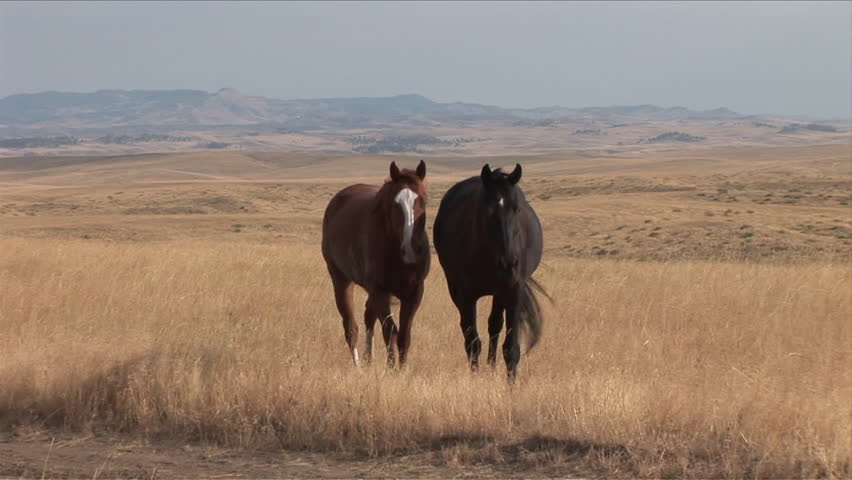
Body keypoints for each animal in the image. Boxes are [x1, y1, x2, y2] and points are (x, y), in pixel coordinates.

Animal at [321, 160, 430, 367]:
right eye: (395, 203)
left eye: (424, 200)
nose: (411, 249)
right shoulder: (380, 291)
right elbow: (390, 332)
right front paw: (391, 368)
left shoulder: (414, 292)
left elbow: (404, 335)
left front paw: (403, 369)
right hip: (341, 280)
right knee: (351, 326)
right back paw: (358, 366)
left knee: (368, 316)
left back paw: (369, 358)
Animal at [433, 163, 547, 381]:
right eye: (488, 210)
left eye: (517, 208)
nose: (508, 263)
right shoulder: (465, 295)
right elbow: (472, 342)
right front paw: (475, 378)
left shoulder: (513, 291)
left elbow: (511, 347)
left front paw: (511, 385)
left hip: (500, 293)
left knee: (494, 324)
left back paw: (492, 367)